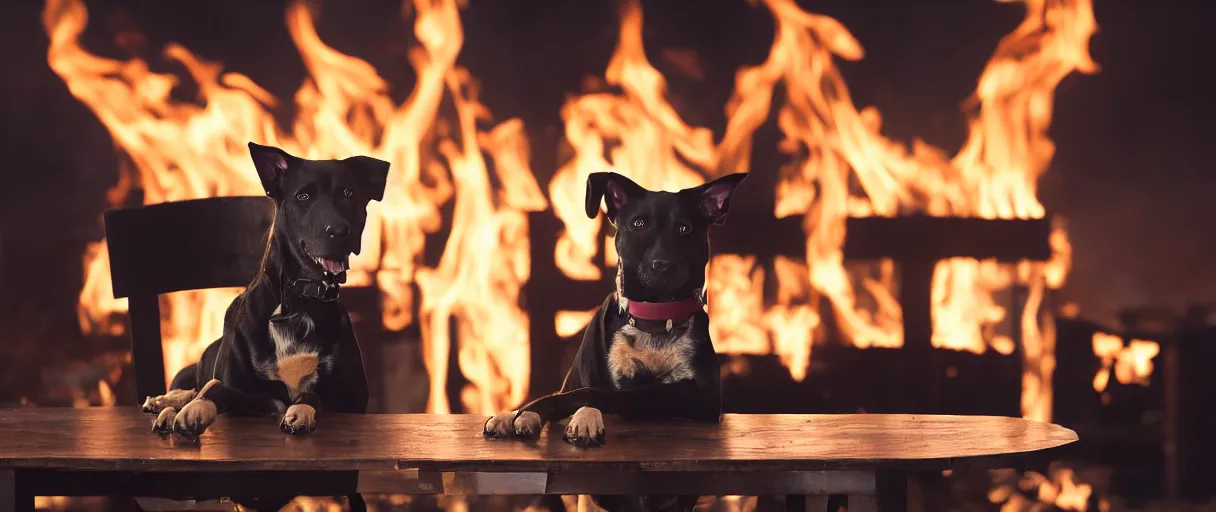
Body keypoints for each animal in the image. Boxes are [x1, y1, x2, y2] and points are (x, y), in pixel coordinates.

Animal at [141, 140, 389, 437]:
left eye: (348, 193)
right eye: (303, 196)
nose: (340, 231)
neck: (296, 301)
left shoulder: (347, 399)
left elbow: (312, 394)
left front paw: (300, 410)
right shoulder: (246, 391)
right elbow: (215, 386)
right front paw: (195, 409)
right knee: (194, 387)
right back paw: (165, 404)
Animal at [479, 171, 744, 505]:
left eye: (685, 228)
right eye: (638, 224)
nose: (662, 265)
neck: (654, 320)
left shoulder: (701, 397)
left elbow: (601, 394)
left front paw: (571, 417)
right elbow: (569, 391)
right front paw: (516, 414)